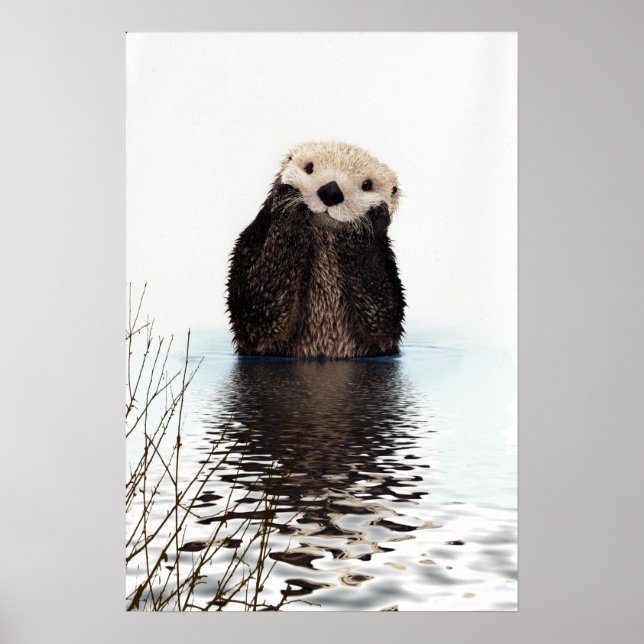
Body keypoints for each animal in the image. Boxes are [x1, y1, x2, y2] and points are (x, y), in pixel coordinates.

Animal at [226, 141, 405, 358]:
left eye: (367, 185)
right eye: (309, 167)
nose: (331, 191)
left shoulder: (386, 267)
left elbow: (382, 315)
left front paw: (368, 221)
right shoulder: (251, 242)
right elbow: (258, 308)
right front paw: (289, 202)